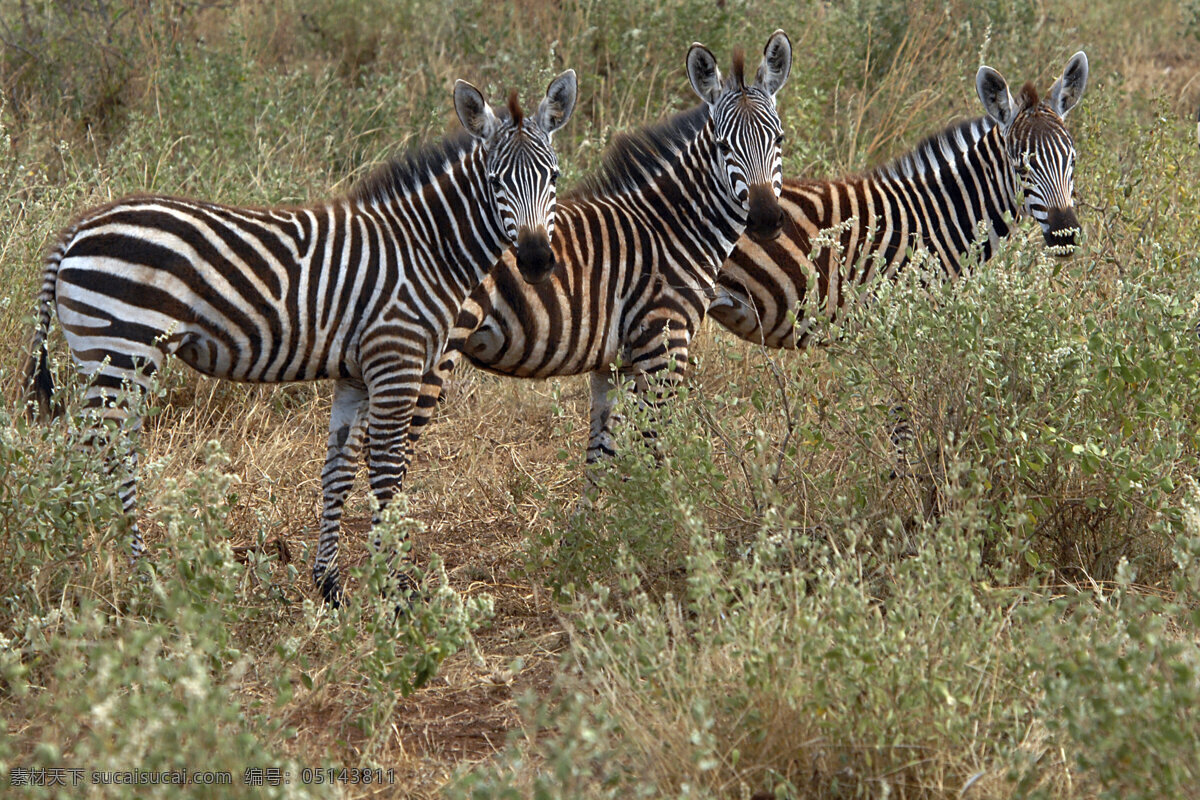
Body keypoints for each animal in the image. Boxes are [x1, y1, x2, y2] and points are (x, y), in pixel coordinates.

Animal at [22, 71, 576, 606]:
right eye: (496, 181)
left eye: (553, 176)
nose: (535, 261)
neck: (426, 248)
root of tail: (76, 230)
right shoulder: (395, 359)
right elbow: (388, 471)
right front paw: (395, 586)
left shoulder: (357, 373)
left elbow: (339, 470)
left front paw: (329, 583)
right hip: (122, 348)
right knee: (104, 452)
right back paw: (124, 572)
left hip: (106, 356)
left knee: (92, 449)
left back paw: (87, 559)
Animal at [403, 32, 792, 474]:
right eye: (725, 146)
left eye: (779, 139)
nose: (766, 219)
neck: (670, 226)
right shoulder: (662, 348)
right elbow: (654, 451)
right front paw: (662, 494)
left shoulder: (612, 364)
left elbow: (600, 458)